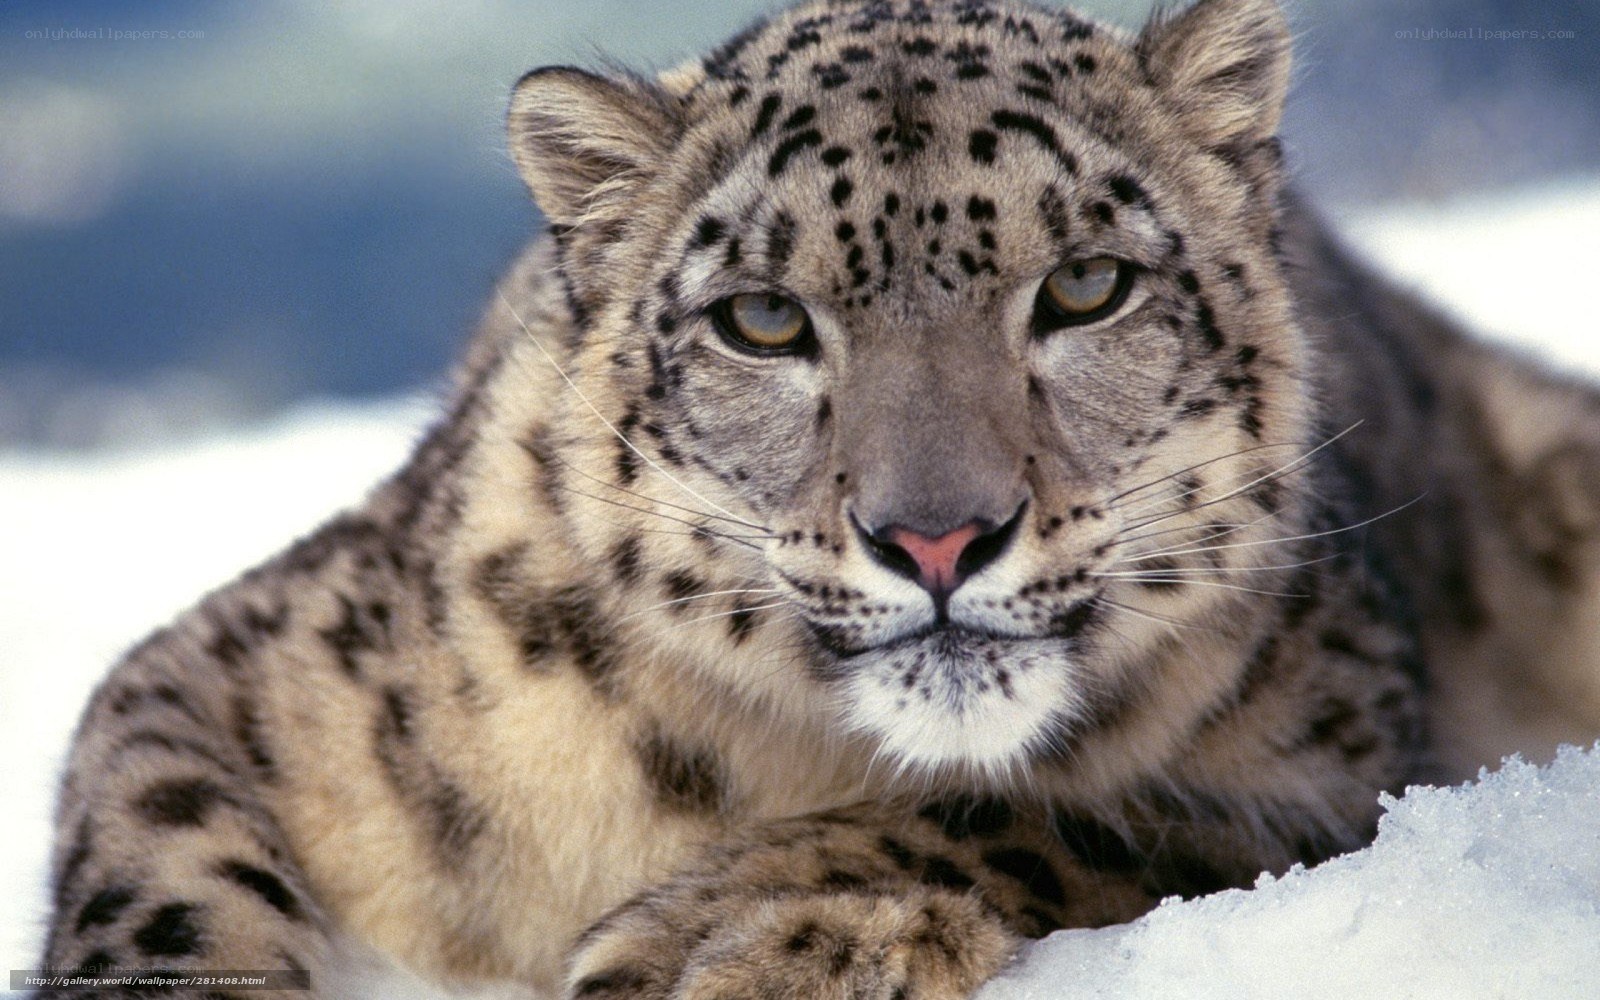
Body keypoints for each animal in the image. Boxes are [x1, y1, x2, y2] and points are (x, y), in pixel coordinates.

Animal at [37, 0, 1600, 997]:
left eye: (1088, 285)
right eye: (764, 319)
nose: (937, 535)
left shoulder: (1333, 756)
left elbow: (1067, 812)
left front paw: (732, 936)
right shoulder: (247, 667)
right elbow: (158, 855)